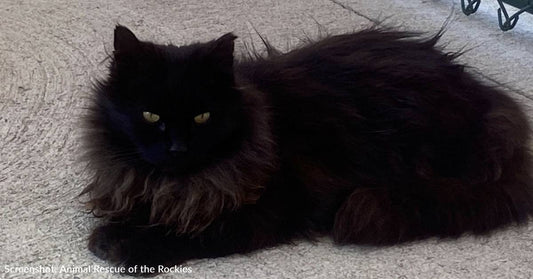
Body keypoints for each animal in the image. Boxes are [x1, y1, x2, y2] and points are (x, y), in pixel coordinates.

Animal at [81, 24, 528, 276]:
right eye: (151, 115)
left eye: (203, 117)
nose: (176, 147)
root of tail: (487, 100)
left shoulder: (270, 207)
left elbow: (195, 231)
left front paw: (122, 244)